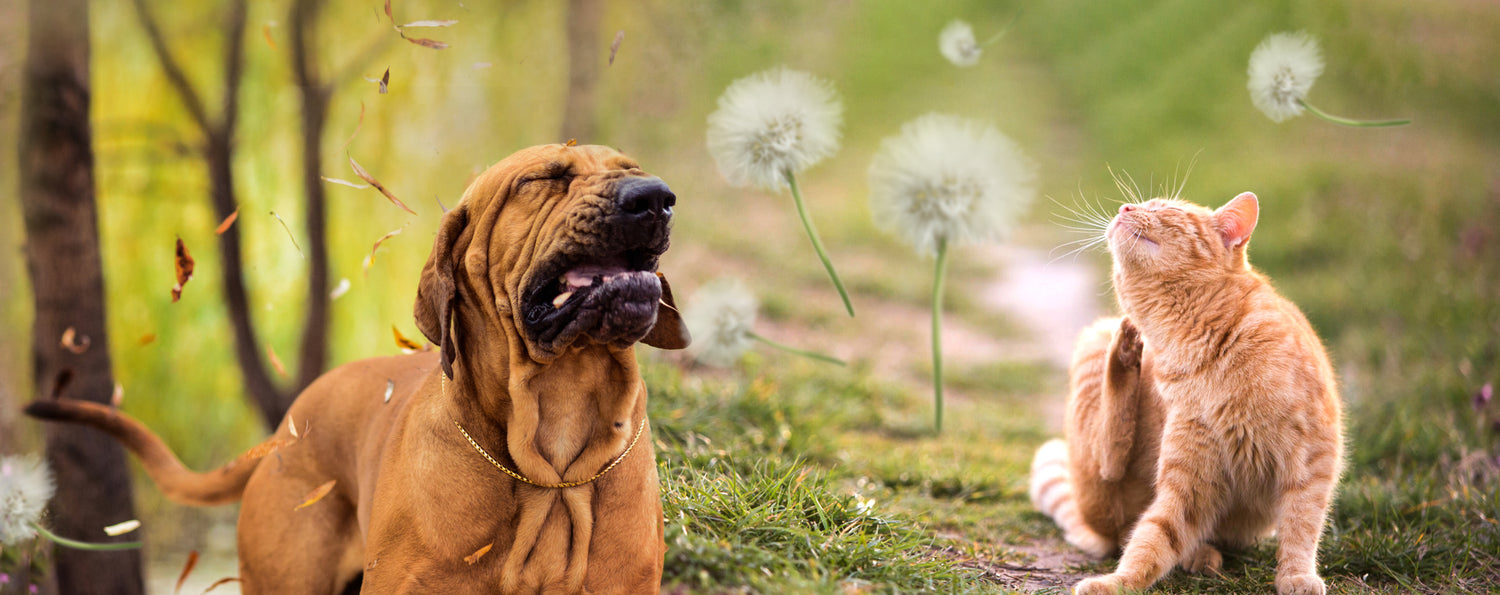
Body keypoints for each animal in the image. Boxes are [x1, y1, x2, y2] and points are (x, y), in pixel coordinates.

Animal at [1032, 191, 1350, 590]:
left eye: (1164, 208)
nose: (1124, 208)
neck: (1195, 344)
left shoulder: (1312, 458)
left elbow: (1301, 525)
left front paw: (1297, 576)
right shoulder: (1188, 477)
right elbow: (1152, 538)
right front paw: (1116, 583)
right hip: (1095, 340)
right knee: (1111, 470)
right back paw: (1126, 351)